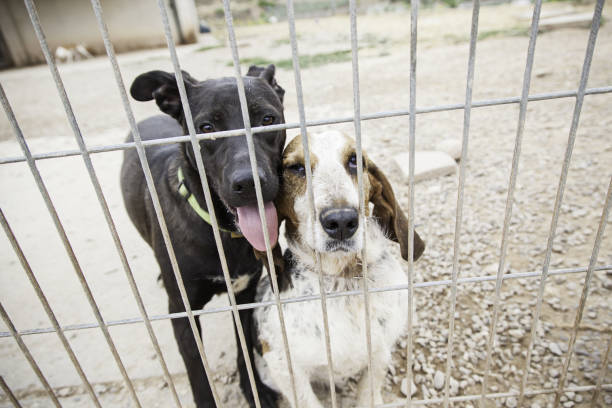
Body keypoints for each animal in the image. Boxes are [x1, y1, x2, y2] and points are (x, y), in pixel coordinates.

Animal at [122, 65, 290, 406]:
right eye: (207, 127)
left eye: (267, 119)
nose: (249, 183)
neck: (223, 233)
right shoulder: (183, 313)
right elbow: (199, 375)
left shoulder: (245, 297)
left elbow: (244, 350)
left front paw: (255, 390)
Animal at [251, 131, 424, 408]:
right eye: (296, 168)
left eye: (355, 161)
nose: (342, 221)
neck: (344, 279)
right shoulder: (281, 364)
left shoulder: (380, 350)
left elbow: (369, 393)